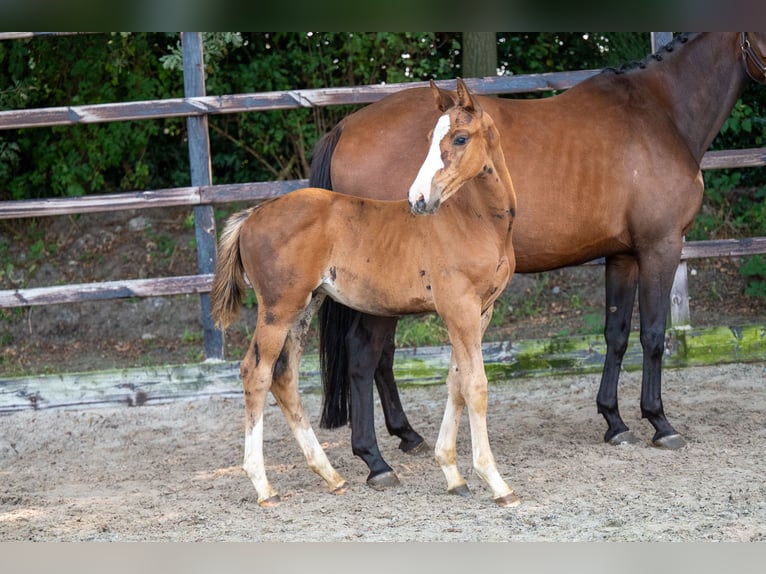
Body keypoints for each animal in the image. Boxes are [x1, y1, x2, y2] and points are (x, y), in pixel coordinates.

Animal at [210, 80, 520, 508]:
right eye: (429, 137)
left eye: (459, 137)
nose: (418, 199)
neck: (476, 221)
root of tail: (251, 216)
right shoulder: (459, 309)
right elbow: (475, 386)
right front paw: (496, 482)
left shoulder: (481, 311)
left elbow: (455, 383)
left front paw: (452, 473)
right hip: (277, 308)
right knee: (255, 373)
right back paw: (263, 485)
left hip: (305, 308)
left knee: (284, 376)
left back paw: (331, 475)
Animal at [312, 33, 766, 488]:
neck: (659, 112)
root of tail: (344, 127)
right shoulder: (660, 246)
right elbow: (654, 335)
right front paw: (660, 423)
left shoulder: (622, 255)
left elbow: (616, 334)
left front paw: (614, 421)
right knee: (365, 354)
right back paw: (375, 460)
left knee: (382, 358)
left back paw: (406, 436)